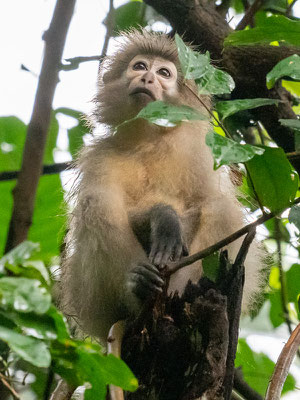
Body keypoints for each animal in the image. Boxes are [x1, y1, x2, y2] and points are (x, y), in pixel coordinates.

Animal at [59, 29, 262, 346]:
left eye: (164, 73)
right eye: (140, 66)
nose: (147, 78)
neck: (149, 140)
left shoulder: (202, 152)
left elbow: (205, 203)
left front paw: (170, 227)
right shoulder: (100, 157)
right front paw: (163, 218)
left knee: (220, 207)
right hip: (93, 299)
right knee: (97, 201)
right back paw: (138, 286)